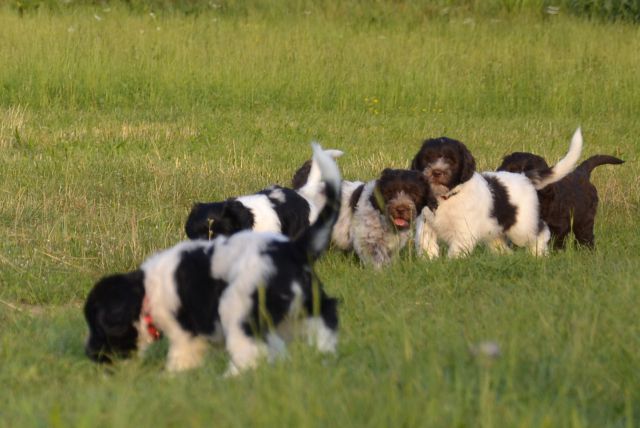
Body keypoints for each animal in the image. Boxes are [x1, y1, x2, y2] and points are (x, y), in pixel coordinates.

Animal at [412, 129, 584, 260]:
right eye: (428, 158)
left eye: (451, 160)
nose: (436, 172)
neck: (446, 197)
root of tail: (524, 176)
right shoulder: (426, 223)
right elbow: (425, 243)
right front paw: (429, 260)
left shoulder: (464, 229)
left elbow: (457, 249)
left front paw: (452, 263)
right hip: (496, 227)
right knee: (499, 243)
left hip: (521, 227)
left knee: (541, 231)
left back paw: (538, 254)